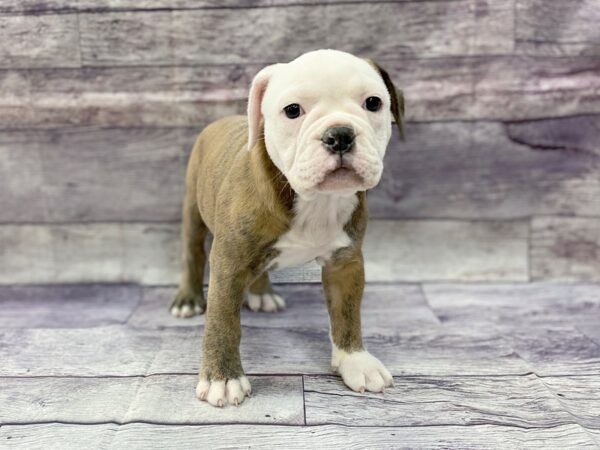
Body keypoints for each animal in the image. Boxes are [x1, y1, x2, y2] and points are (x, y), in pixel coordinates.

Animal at [171, 50, 406, 408]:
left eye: (373, 103)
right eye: (293, 110)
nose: (339, 134)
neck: (315, 200)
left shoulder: (346, 262)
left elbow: (347, 313)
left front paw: (355, 361)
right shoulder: (228, 262)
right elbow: (223, 320)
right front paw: (223, 379)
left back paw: (262, 293)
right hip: (193, 209)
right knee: (192, 252)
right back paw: (188, 299)